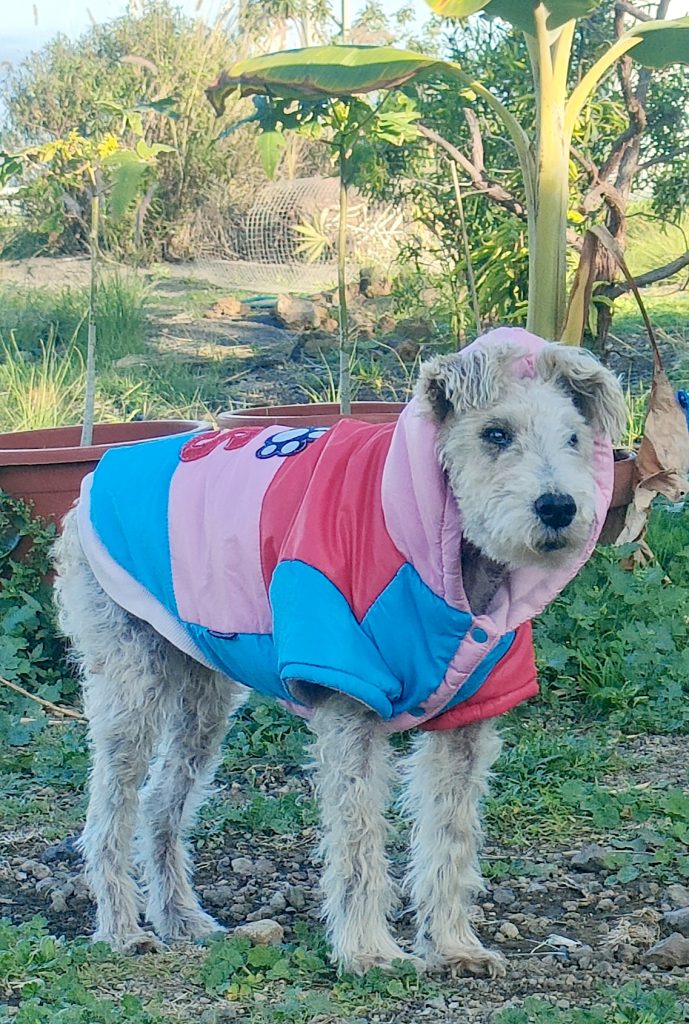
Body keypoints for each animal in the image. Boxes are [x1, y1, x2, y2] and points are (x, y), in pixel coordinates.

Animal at [53, 327, 625, 975]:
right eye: (495, 433)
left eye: (574, 437)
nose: (558, 508)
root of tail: (97, 476)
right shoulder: (351, 708)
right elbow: (357, 843)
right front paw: (368, 951)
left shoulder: (466, 723)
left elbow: (449, 840)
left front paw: (453, 946)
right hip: (134, 687)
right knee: (109, 810)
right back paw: (124, 930)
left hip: (205, 698)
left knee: (159, 803)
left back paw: (182, 919)